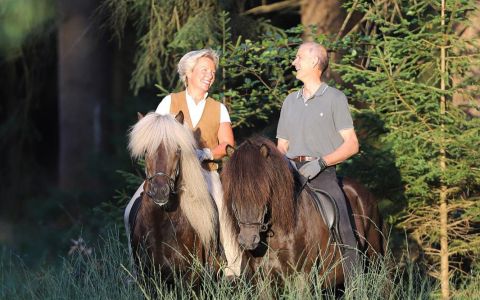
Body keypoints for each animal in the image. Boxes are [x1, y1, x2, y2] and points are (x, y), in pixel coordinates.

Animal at [220, 137, 382, 284]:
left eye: (264, 189)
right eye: (233, 189)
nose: (248, 240)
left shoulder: (301, 276)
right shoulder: (262, 280)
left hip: (375, 260)